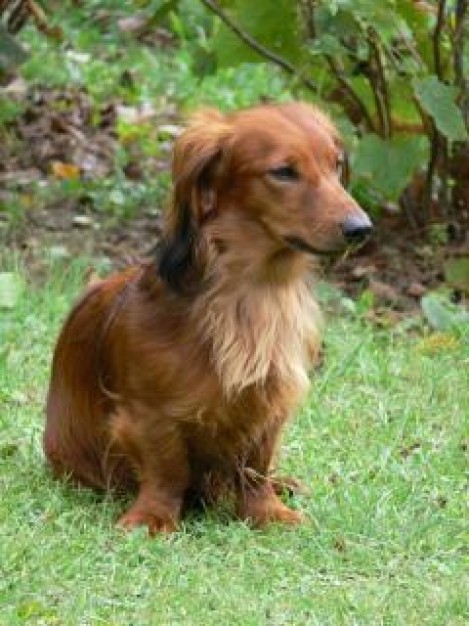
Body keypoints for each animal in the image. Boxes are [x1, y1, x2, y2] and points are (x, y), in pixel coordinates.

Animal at [44, 101, 372, 532]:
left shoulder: (268, 403)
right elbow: (167, 469)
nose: (361, 228)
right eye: (284, 171)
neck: (250, 296)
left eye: (335, 165)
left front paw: (266, 512)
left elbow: (255, 467)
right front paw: (153, 517)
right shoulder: (148, 415)